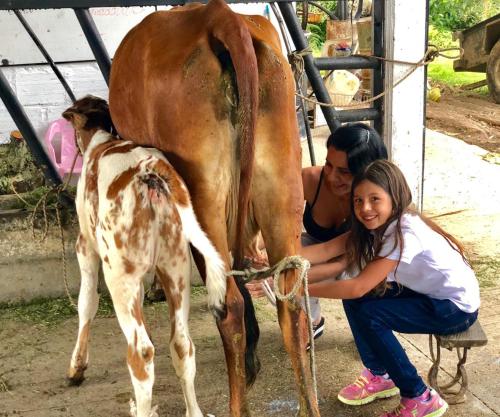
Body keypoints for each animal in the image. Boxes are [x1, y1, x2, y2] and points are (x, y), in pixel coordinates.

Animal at [63, 95, 226, 416]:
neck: (102, 140)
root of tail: (150, 173)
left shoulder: (85, 246)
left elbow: (86, 303)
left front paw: (77, 367)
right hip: (176, 269)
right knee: (182, 345)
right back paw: (193, 410)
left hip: (118, 274)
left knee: (140, 352)